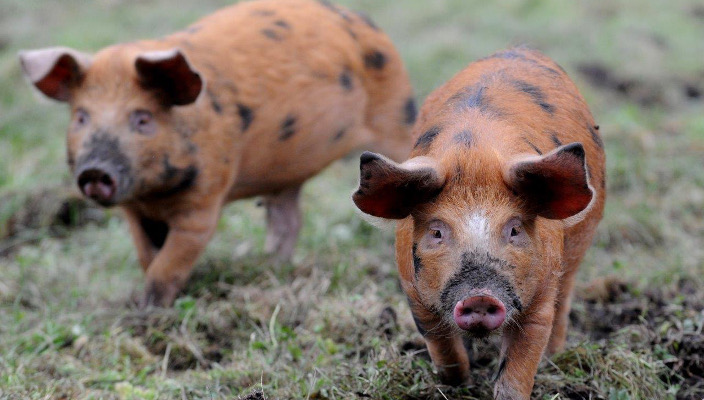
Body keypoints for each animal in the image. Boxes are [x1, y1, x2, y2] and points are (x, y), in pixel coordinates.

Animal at [20, 0, 418, 308]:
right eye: (80, 117)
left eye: (143, 119)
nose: (94, 171)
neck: (154, 195)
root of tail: (362, 20)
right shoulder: (134, 212)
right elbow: (148, 257)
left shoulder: (204, 201)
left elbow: (168, 265)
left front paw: (148, 313)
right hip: (286, 176)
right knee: (288, 220)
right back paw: (271, 269)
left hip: (395, 118)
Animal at [352, 47, 604, 400]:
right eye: (437, 231)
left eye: (514, 229)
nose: (480, 297)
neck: (475, 156)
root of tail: (520, 48)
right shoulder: (413, 293)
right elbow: (443, 347)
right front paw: (459, 381)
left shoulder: (539, 299)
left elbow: (519, 366)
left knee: (565, 296)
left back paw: (554, 356)